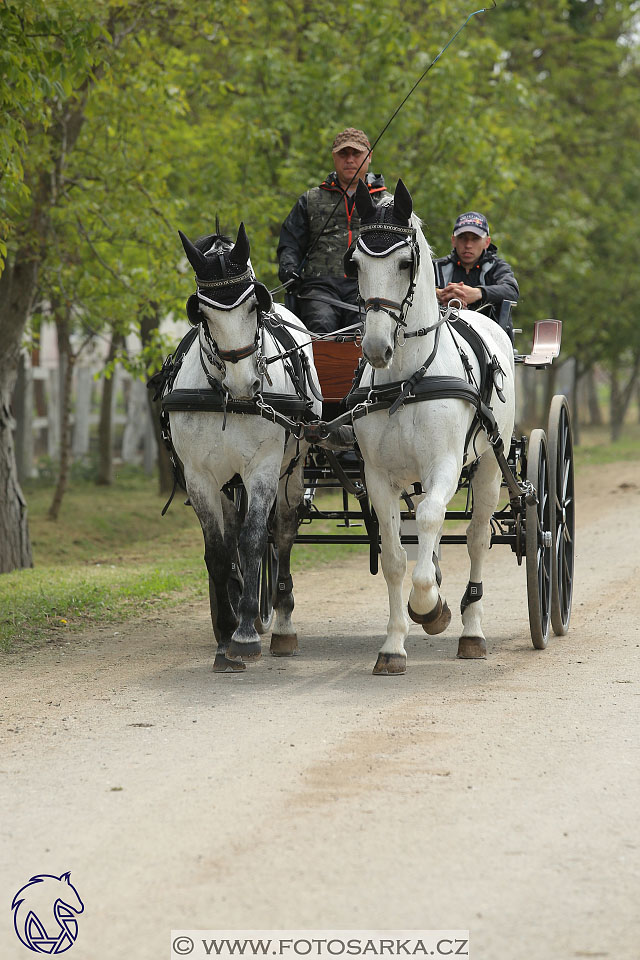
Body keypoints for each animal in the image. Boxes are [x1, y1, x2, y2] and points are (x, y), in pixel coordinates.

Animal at [170, 227, 322, 676]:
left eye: (256, 304)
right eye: (202, 314)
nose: (243, 384)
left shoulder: (263, 470)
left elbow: (254, 540)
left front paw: (245, 637)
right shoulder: (200, 478)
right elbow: (220, 552)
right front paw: (226, 635)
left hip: (292, 470)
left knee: (283, 533)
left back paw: (281, 624)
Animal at [348, 180, 516, 676]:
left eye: (405, 262)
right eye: (355, 263)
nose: (376, 347)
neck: (407, 379)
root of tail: (468, 311)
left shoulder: (444, 465)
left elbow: (427, 520)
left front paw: (430, 607)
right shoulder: (379, 477)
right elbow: (395, 555)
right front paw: (393, 645)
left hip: (490, 466)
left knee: (476, 537)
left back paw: (472, 632)